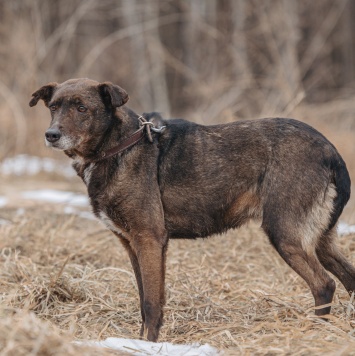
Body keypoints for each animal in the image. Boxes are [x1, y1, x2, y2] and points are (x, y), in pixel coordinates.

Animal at [29, 78, 355, 342]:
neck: (120, 145)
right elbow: (144, 299)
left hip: (285, 233)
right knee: (348, 276)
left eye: (82, 108)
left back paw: (315, 332)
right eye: (54, 107)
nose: (51, 134)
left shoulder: (149, 239)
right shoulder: (132, 244)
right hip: (320, 239)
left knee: (323, 284)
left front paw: (148, 344)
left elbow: (151, 303)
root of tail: (331, 151)